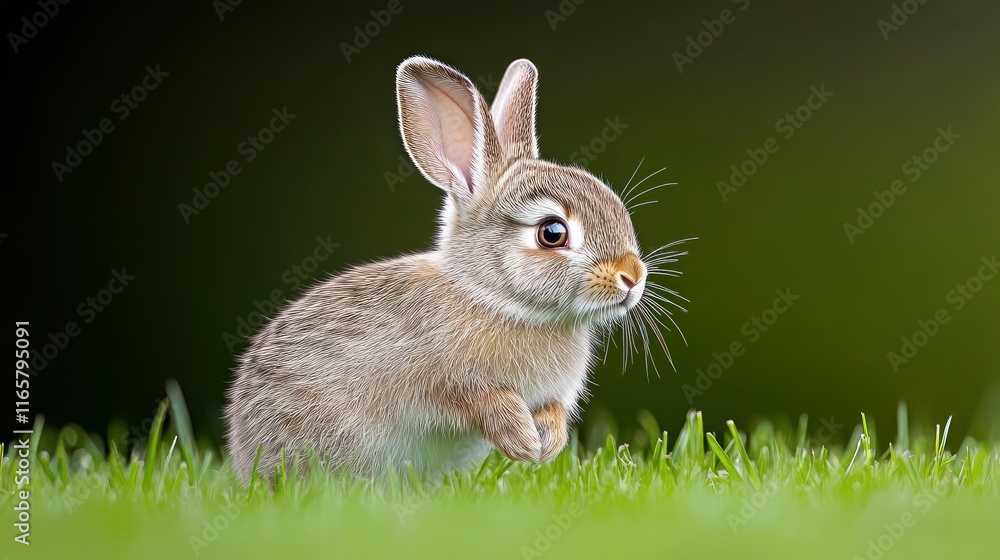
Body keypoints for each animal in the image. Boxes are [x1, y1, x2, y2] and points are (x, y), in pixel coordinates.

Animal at [223, 55, 684, 481]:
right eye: (552, 233)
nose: (633, 277)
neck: (496, 299)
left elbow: (551, 410)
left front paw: (547, 444)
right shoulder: (444, 385)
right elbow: (476, 402)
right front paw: (522, 440)